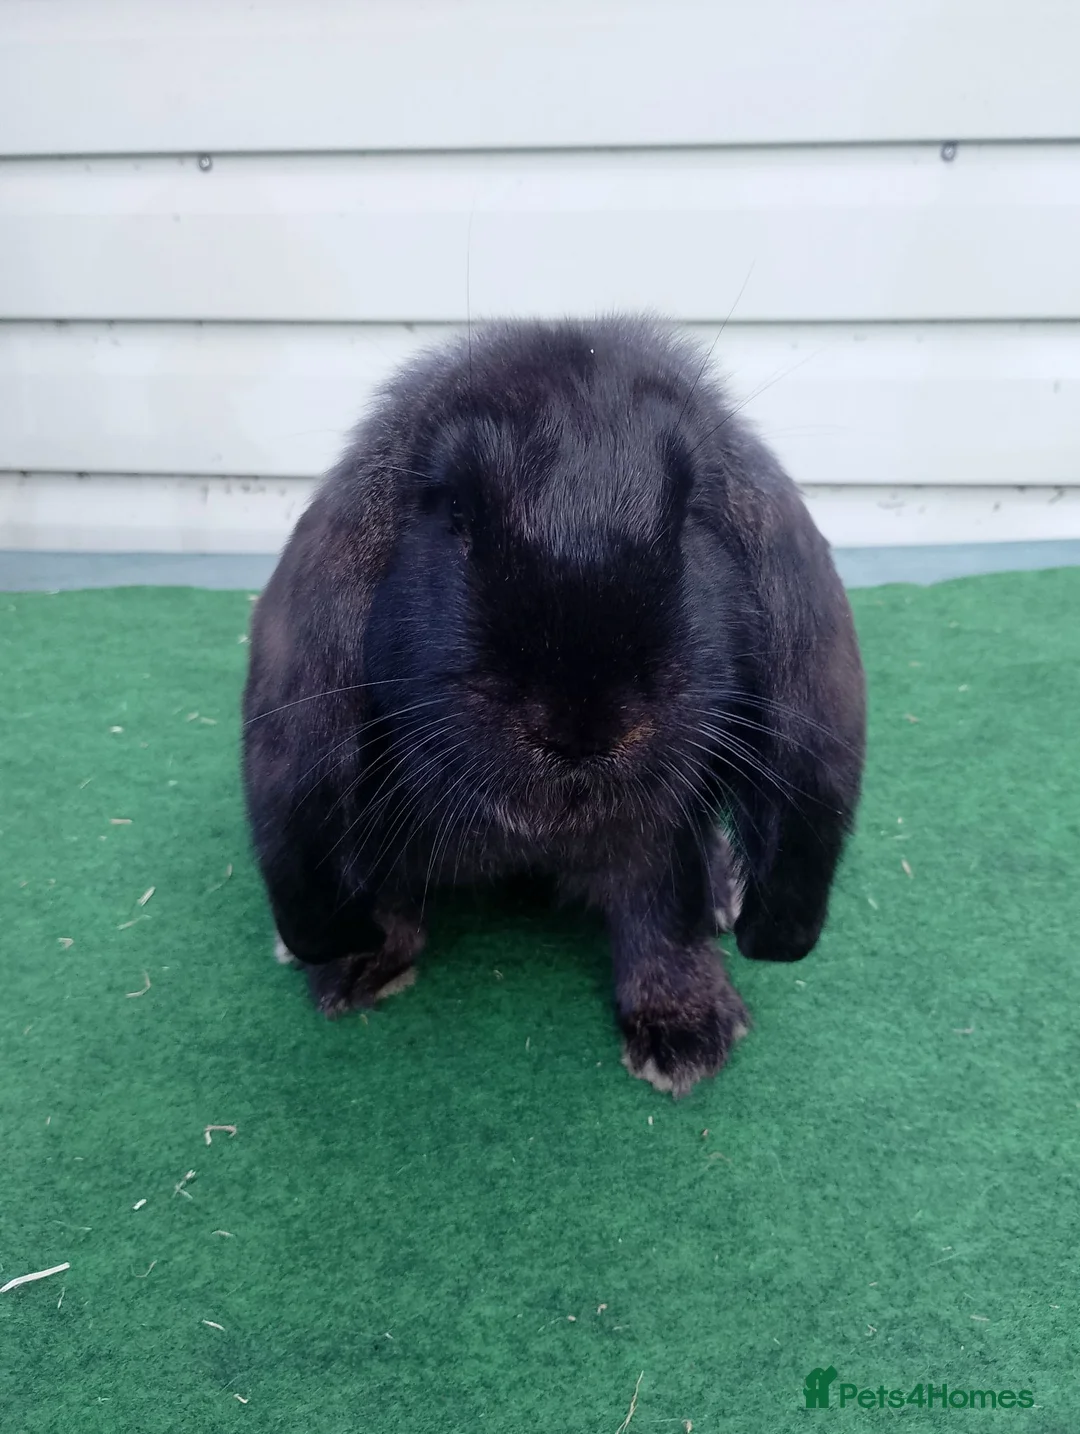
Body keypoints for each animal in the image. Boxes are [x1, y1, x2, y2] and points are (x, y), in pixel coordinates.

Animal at [242, 317, 866, 1095]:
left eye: (692, 513)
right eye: (455, 508)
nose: (583, 720)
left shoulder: (661, 835)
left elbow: (664, 919)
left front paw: (687, 1034)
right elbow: (386, 896)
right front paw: (352, 969)